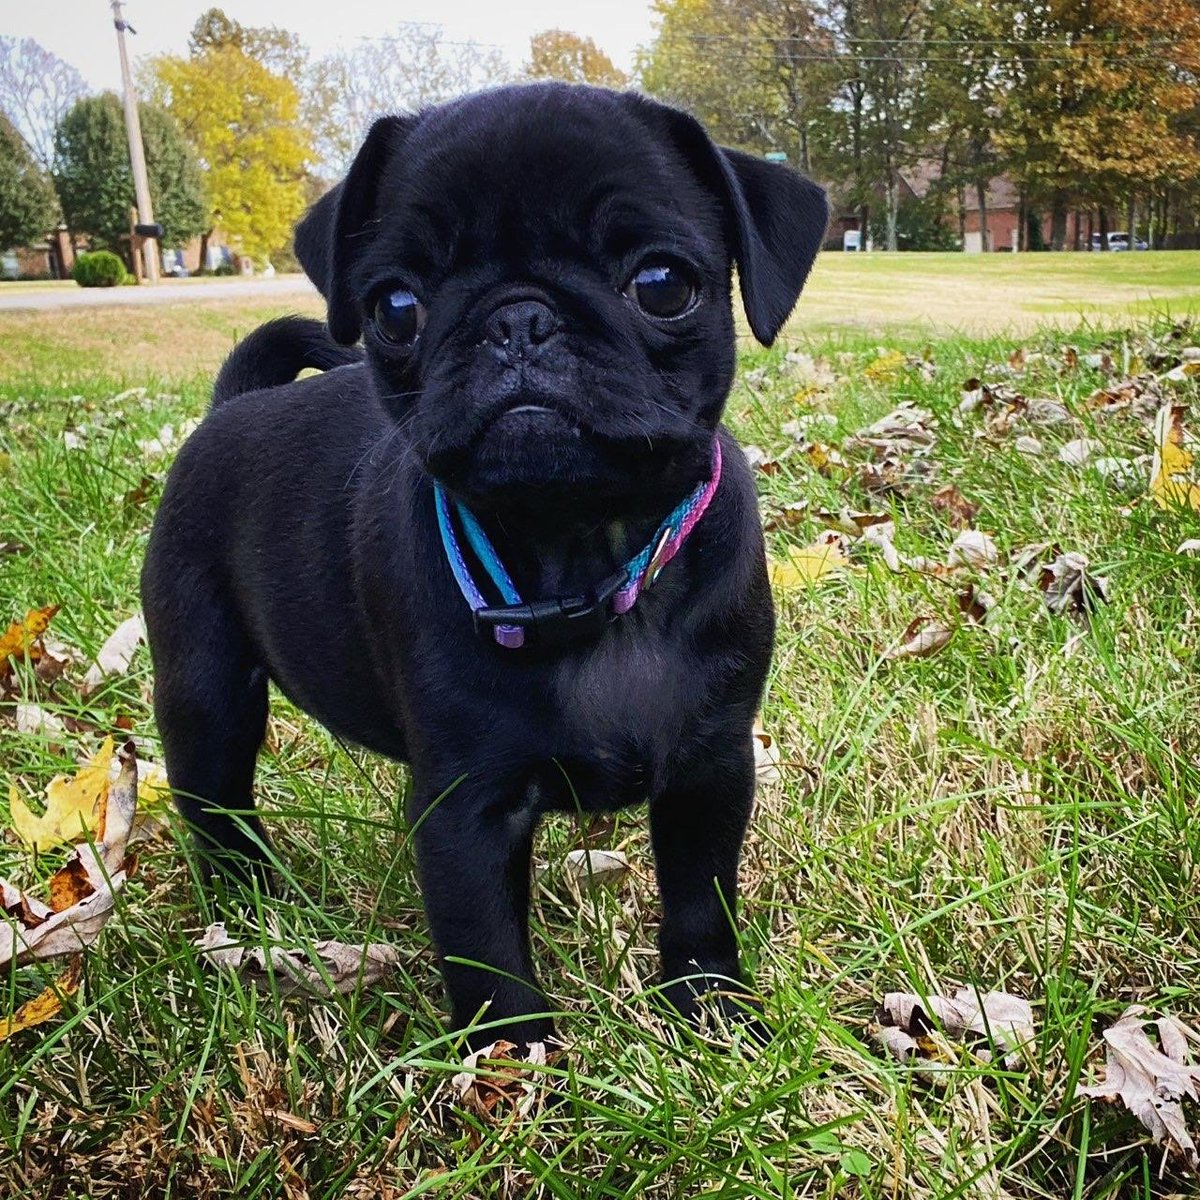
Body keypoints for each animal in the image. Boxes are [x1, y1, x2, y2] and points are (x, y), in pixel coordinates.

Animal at [140, 82, 830, 1051]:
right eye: (394, 306)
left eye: (663, 285)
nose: (519, 317)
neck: (581, 551)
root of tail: (231, 405)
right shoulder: (466, 805)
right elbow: (487, 950)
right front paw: (516, 1066)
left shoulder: (710, 768)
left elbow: (701, 902)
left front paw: (713, 1013)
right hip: (206, 693)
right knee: (215, 800)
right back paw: (252, 907)